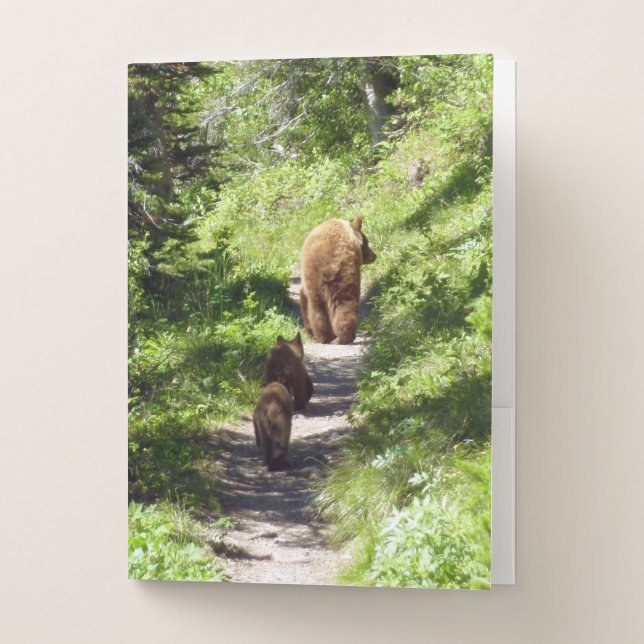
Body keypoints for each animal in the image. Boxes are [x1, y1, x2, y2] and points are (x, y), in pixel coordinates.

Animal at [300, 215, 376, 344]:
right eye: (366, 242)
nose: (374, 256)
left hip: (329, 279)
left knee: (325, 307)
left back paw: (328, 337)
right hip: (338, 277)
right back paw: (334, 337)